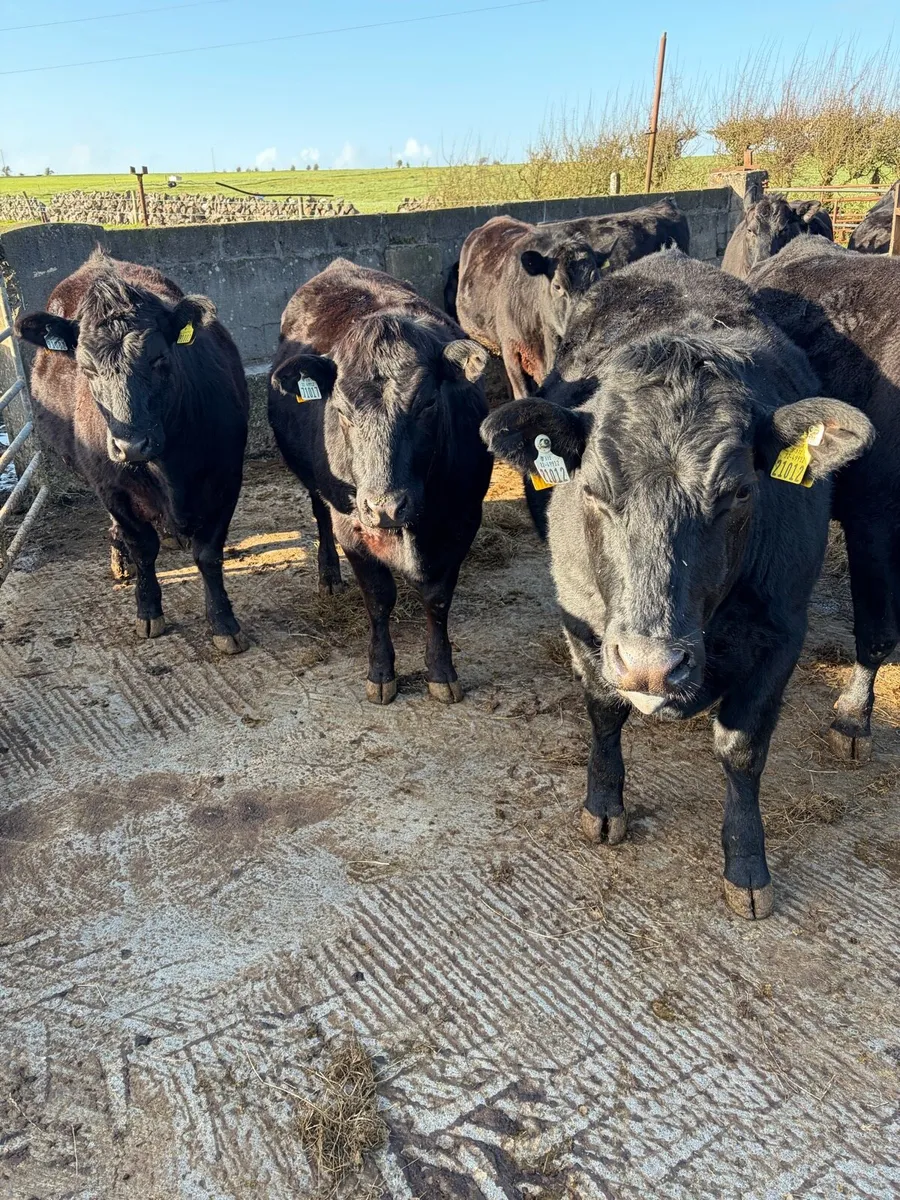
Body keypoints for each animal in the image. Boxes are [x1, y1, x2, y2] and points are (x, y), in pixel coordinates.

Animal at [15, 251, 249, 652]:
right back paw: (120, 557)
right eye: (86, 367)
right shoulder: (112, 488)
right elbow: (143, 548)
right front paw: (148, 611)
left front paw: (223, 624)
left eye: (159, 359)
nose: (130, 445)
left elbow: (208, 553)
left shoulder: (226, 476)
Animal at [267, 258, 492, 705]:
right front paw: (381, 671)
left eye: (427, 403)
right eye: (341, 408)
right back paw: (328, 576)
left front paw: (441, 672)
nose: (384, 506)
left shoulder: (463, 519)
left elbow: (437, 598)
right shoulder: (351, 525)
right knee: (319, 517)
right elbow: (379, 598)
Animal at [481, 250, 872, 919]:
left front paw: (746, 865)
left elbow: (742, 748)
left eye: (739, 491)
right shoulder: (581, 623)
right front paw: (603, 808)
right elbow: (604, 711)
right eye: (592, 489)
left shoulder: (782, 634)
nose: (651, 665)